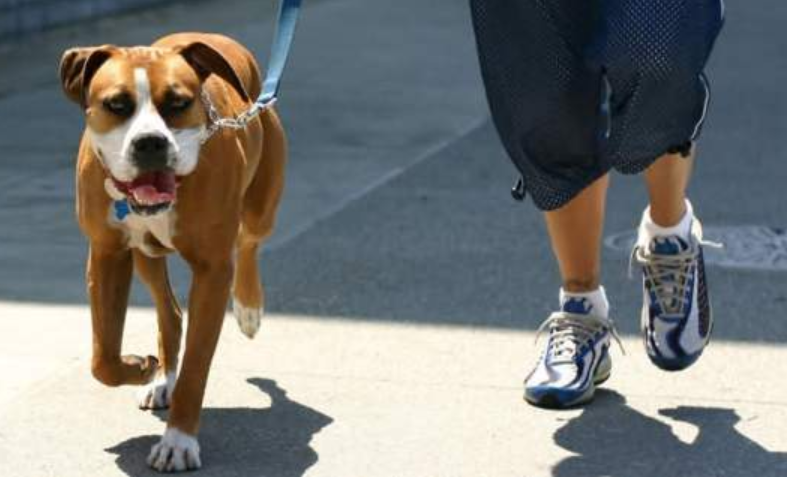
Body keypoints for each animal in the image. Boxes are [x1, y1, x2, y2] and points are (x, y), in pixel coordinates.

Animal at [59, 32, 286, 468]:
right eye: (117, 104)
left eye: (178, 103)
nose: (150, 142)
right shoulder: (106, 255)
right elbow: (103, 358)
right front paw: (140, 366)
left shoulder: (213, 271)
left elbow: (197, 366)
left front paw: (178, 441)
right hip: (146, 255)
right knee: (170, 313)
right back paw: (162, 377)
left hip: (261, 207)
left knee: (249, 242)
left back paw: (249, 309)